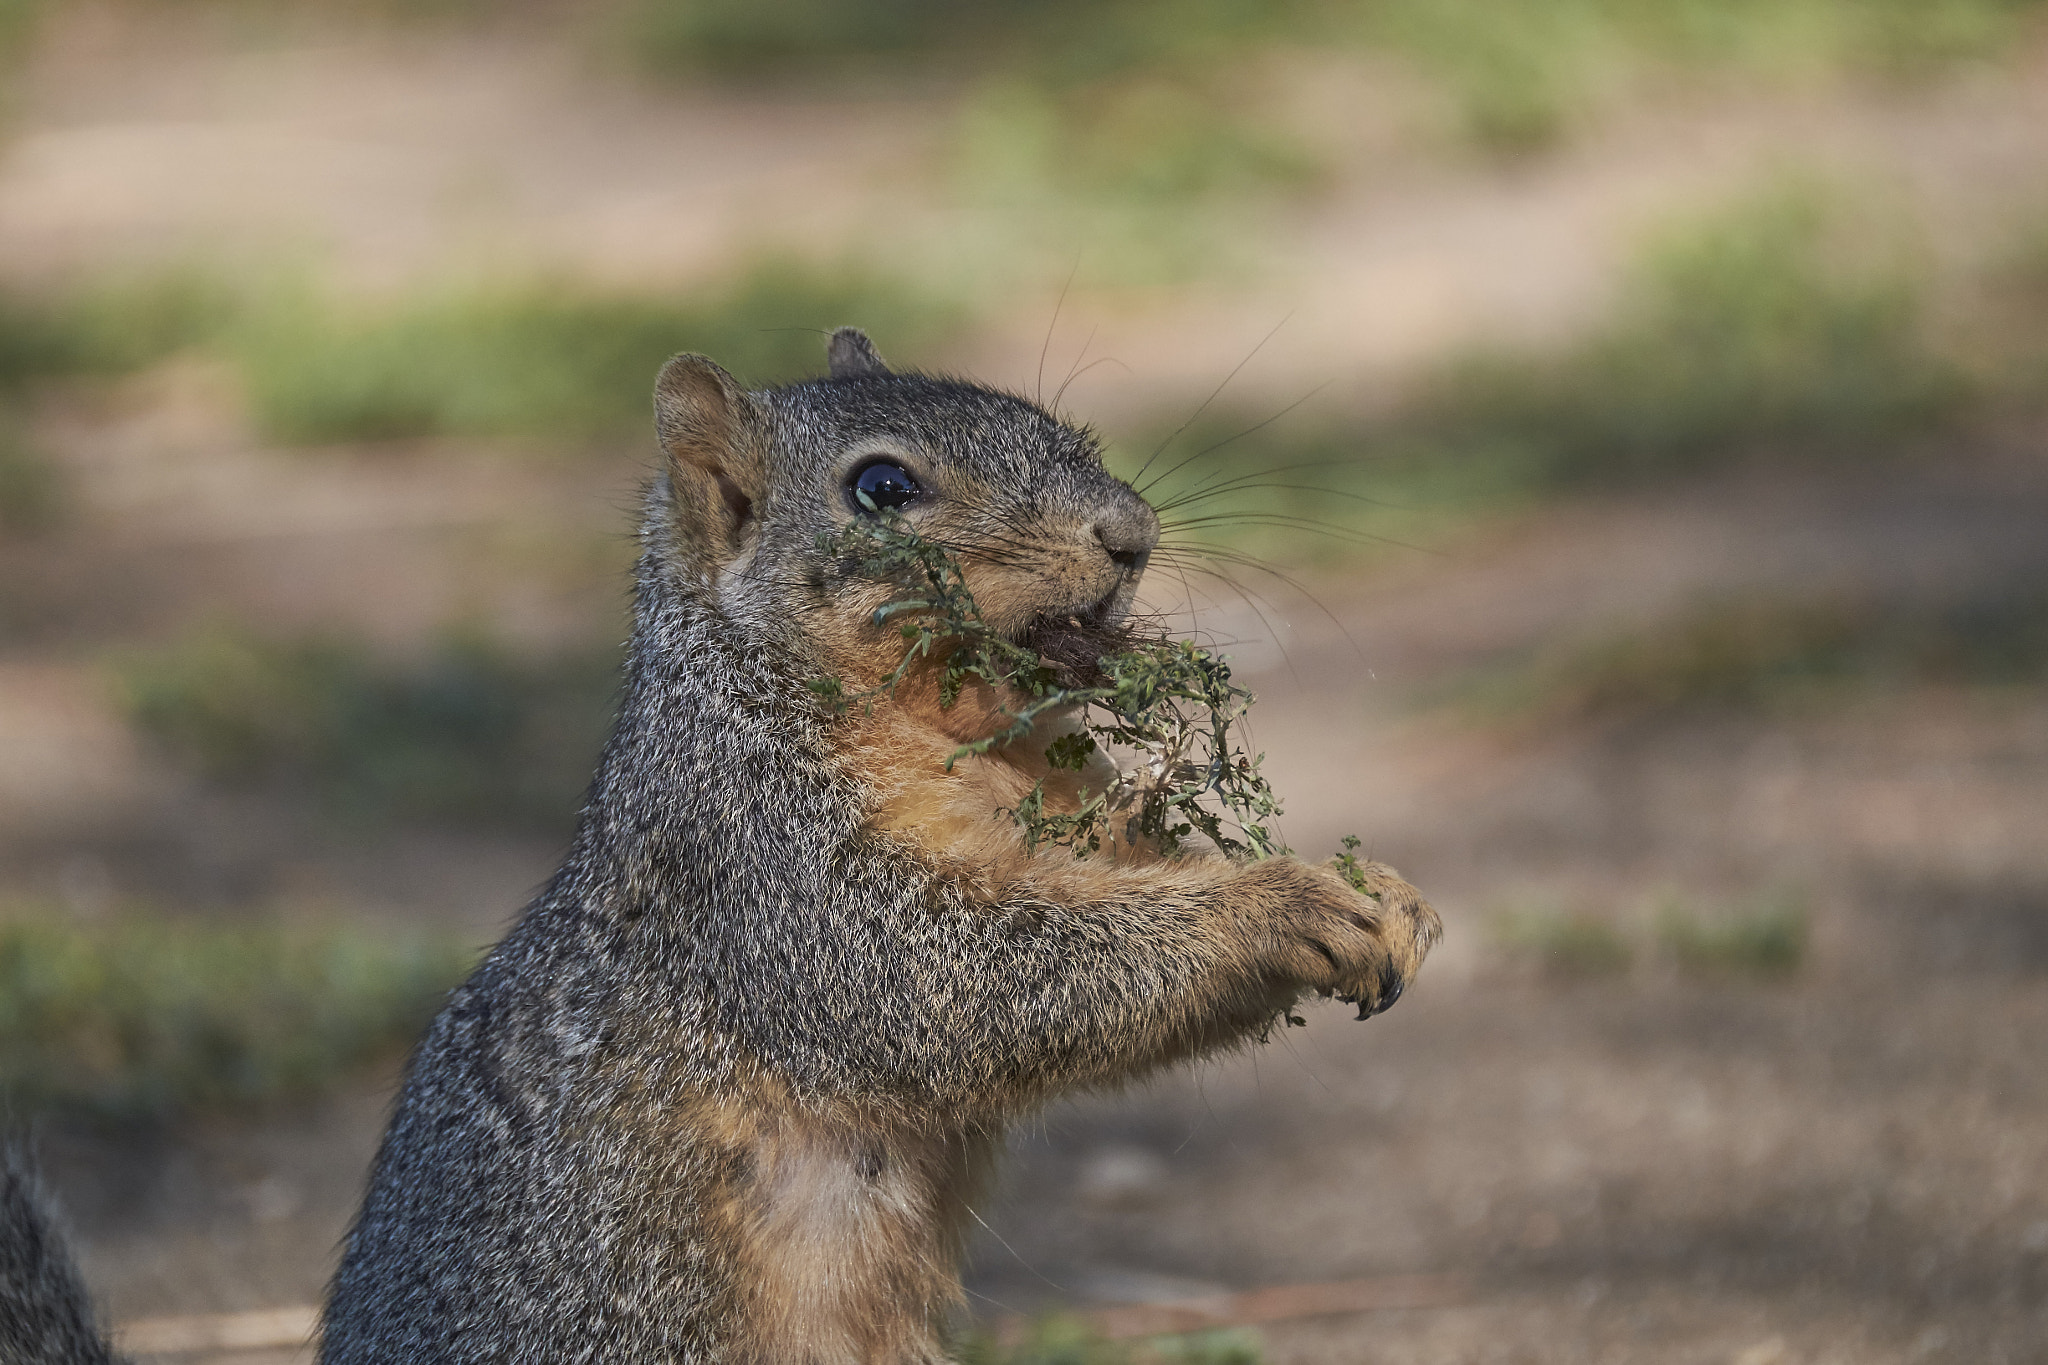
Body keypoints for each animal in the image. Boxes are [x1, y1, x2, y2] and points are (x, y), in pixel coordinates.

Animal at [0, 331, 1441, 1365]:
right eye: (880, 487)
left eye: (1063, 429)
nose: (1129, 535)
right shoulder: (763, 872)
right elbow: (958, 983)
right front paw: (1284, 904)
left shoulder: (1068, 816)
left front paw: (1380, 887)